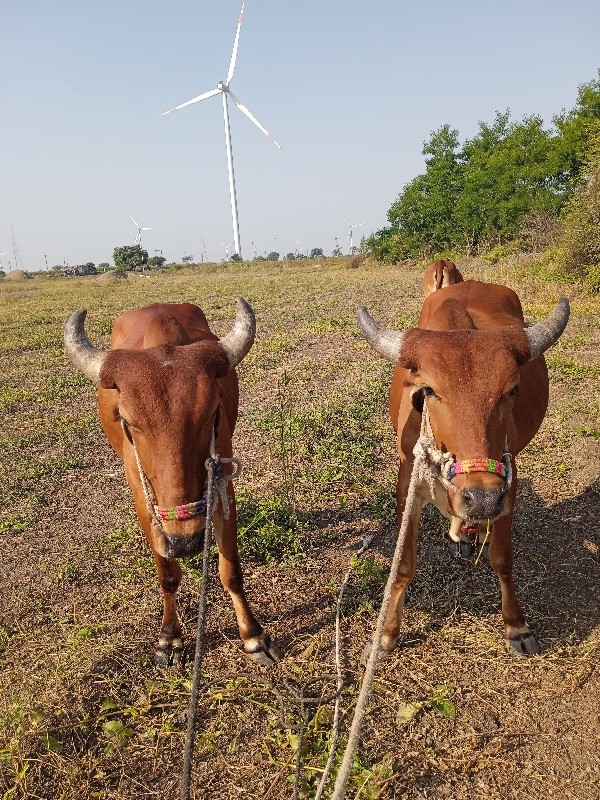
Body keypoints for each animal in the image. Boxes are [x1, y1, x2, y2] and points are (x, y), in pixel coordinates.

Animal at [64, 296, 280, 664]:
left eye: (213, 412)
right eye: (127, 421)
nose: (186, 543)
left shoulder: (223, 487)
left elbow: (231, 571)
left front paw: (253, 636)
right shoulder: (143, 500)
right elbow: (167, 576)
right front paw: (170, 637)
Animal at [358, 282, 568, 656]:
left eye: (512, 390)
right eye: (429, 390)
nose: (481, 498)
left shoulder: (507, 486)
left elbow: (502, 558)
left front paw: (516, 626)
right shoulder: (407, 483)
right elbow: (403, 564)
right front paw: (386, 635)